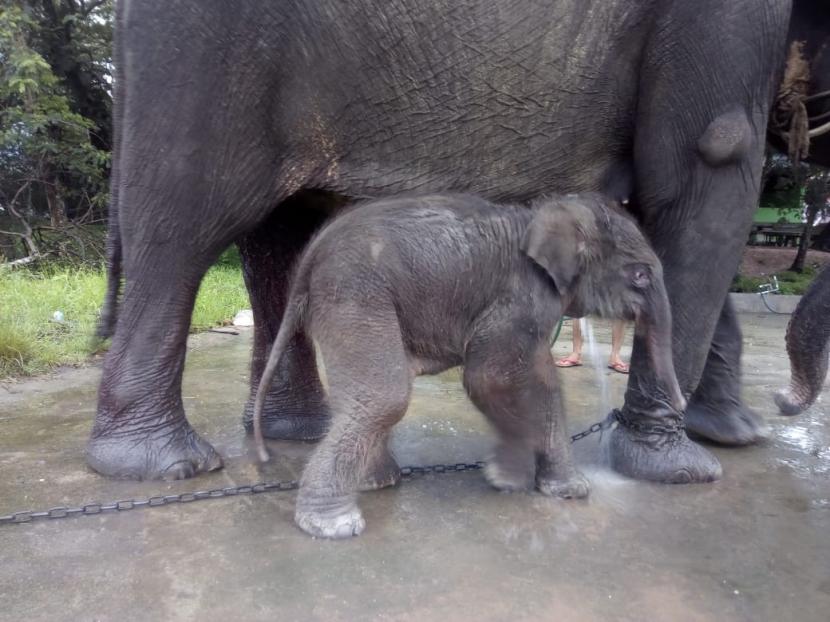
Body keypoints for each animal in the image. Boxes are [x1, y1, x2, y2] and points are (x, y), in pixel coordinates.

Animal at [89, 0, 830, 486]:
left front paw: (731, 436)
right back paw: (166, 466)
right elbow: (711, 172)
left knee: (281, 238)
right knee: (182, 228)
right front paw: (682, 471)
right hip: (208, 54)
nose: (785, 405)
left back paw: (293, 435)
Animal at [254, 195, 684, 540]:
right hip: (354, 293)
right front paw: (506, 478)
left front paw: (569, 492)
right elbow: (488, 378)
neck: (546, 214)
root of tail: (311, 255)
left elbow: (543, 384)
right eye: (640, 275)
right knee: (384, 397)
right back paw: (334, 525)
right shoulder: (519, 297)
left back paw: (378, 483)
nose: (682, 404)